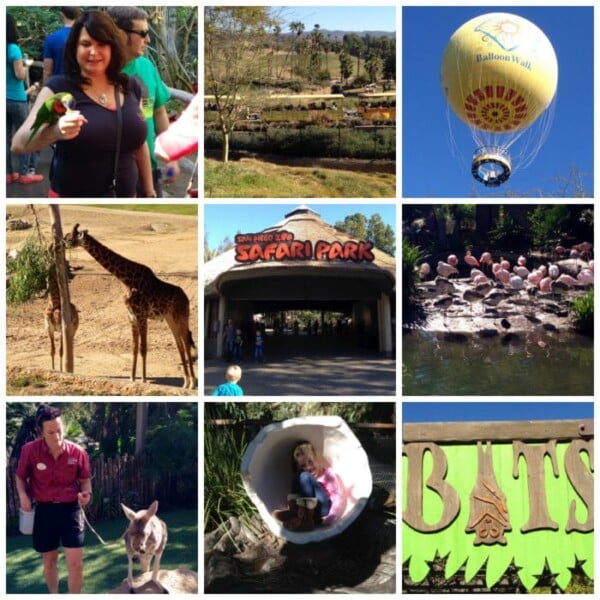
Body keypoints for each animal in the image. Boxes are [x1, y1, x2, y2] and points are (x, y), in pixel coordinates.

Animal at [65, 221, 197, 390]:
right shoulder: (132, 317)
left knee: (186, 342)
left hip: (181, 316)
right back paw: (185, 382)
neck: (127, 280)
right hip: (170, 318)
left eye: (71, 237)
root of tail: (186, 298)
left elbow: (143, 348)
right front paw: (132, 378)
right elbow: (134, 348)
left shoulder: (142, 316)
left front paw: (144, 380)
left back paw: (192, 383)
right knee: (179, 343)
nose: (62, 241)